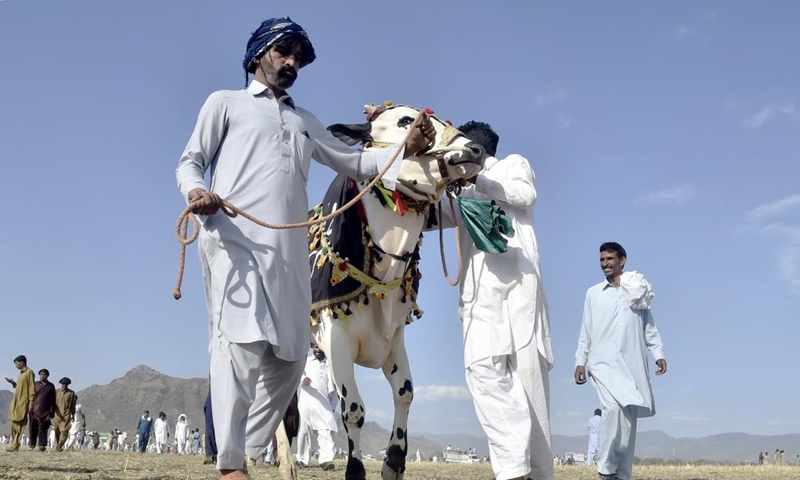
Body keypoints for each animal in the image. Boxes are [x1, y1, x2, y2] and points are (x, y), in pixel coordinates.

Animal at [304, 105, 484, 480]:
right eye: (405, 121)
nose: (476, 151)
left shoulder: (395, 337)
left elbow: (405, 393)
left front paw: (395, 460)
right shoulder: (335, 337)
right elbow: (353, 409)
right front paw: (355, 469)